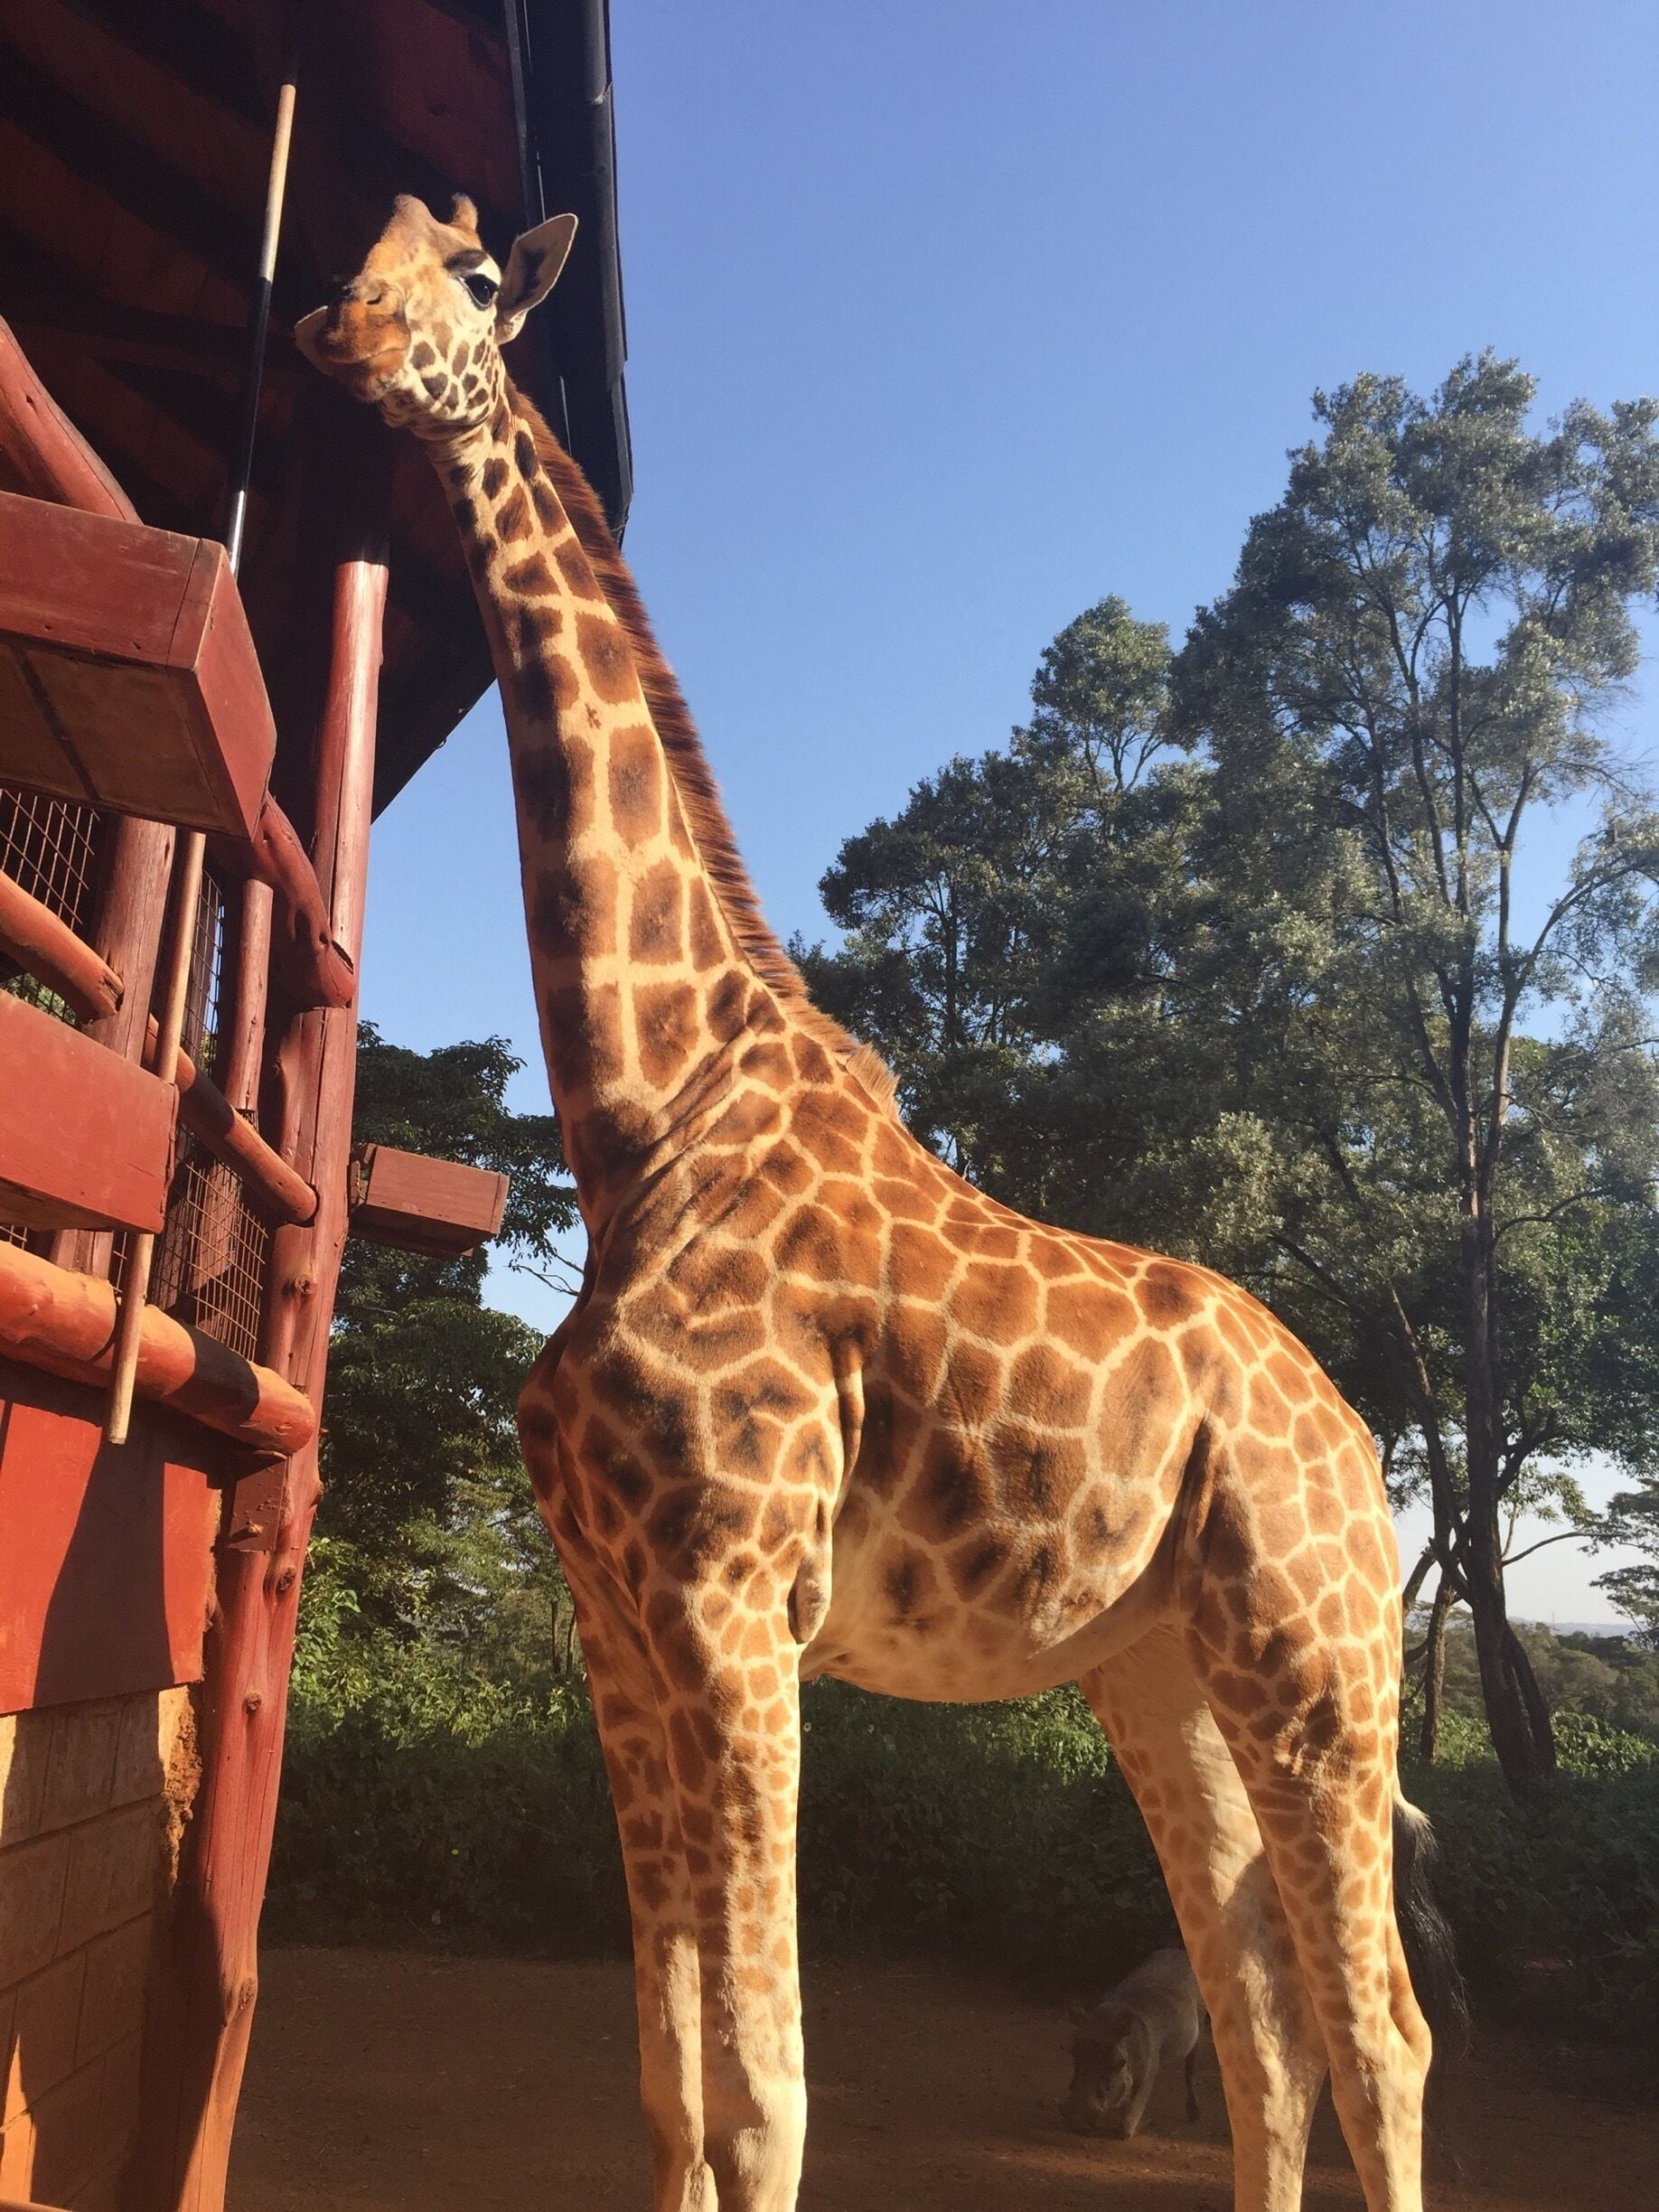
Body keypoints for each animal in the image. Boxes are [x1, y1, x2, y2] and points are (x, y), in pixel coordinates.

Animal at [297, 195, 1438, 2212]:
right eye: (365, 240)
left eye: (483, 285)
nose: (337, 340)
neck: (645, 1115)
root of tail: (1351, 1431)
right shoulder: (619, 1622)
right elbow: (669, 2075)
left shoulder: (735, 1600)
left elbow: (768, 2087)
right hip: (1164, 1671)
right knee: (1262, 2014)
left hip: (1323, 1664)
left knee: (1380, 2031)